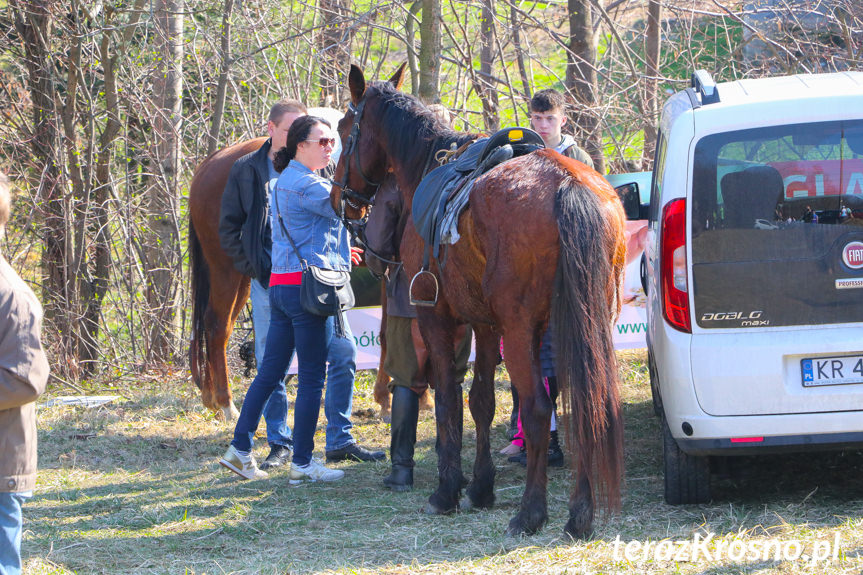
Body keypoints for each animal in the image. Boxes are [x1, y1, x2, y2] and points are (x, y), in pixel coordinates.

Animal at [332, 65, 628, 544]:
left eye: (344, 131)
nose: (339, 197)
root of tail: (569, 184)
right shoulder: (487, 327)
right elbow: (482, 401)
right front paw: (482, 487)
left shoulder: (438, 318)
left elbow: (449, 399)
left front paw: (448, 491)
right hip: (583, 324)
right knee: (589, 405)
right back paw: (579, 515)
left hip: (523, 329)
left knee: (538, 408)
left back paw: (531, 513)